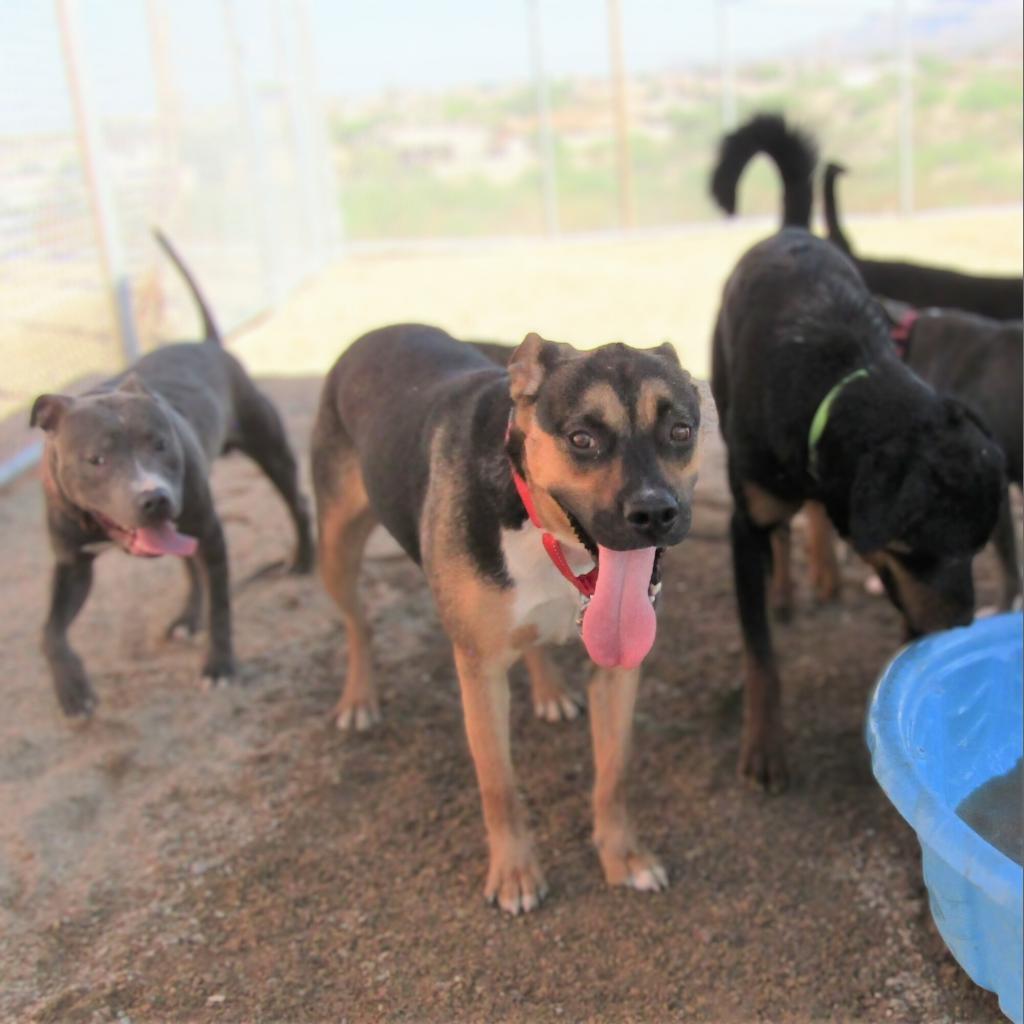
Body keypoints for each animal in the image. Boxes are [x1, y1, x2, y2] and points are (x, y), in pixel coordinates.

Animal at [33, 228, 311, 716]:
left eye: (161, 445)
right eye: (96, 459)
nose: (154, 497)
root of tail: (207, 343)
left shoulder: (211, 532)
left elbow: (222, 607)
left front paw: (218, 666)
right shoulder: (72, 564)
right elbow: (51, 632)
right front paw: (73, 690)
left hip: (270, 450)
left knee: (296, 500)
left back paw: (303, 559)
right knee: (187, 565)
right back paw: (186, 618)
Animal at [311, 323, 704, 917]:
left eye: (680, 430)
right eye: (582, 438)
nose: (655, 512)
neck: (548, 536)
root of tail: (380, 331)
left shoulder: (618, 669)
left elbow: (613, 774)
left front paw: (624, 856)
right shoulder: (480, 670)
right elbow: (498, 783)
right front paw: (515, 874)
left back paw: (549, 690)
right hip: (336, 545)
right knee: (359, 623)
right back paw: (359, 698)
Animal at [708, 232, 1003, 790]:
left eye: (978, 551)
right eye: (925, 550)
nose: (962, 625)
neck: (835, 382)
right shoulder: (743, 525)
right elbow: (761, 654)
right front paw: (764, 744)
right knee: (781, 532)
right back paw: (784, 594)